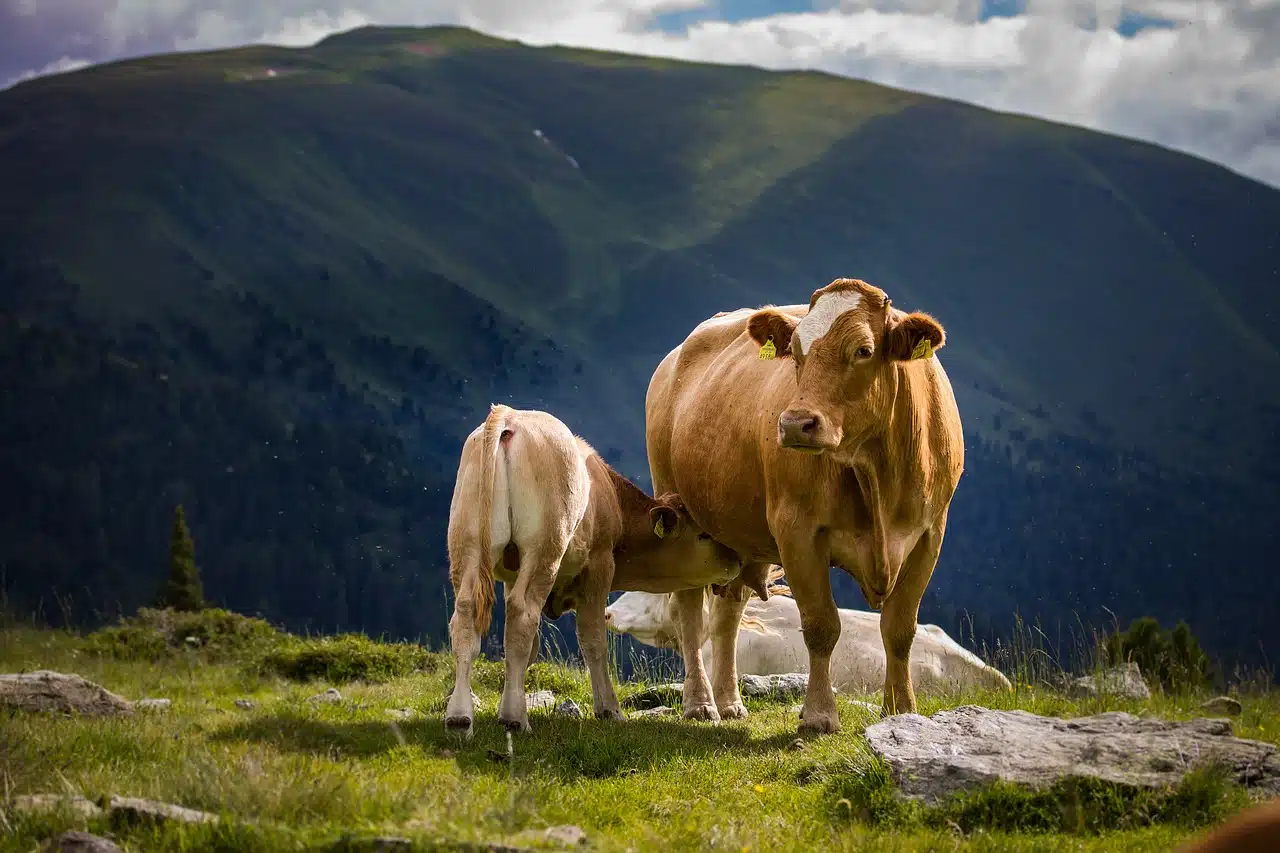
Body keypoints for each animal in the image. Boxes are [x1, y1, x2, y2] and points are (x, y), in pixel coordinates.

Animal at [445, 404, 742, 732]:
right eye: (703, 534)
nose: (737, 558)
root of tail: (510, 417)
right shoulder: (600, 565)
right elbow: (593, 639)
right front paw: (608, 709)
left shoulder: (512, 575)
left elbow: (527, 648)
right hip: (544, 548)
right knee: (522, 614)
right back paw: (514, 719)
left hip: (467, 544)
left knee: (467, 615)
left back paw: (459, 716)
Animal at [650, 279, 967, 732]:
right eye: (796, 353)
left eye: (863, 350)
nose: (795, 423)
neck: (876, 474)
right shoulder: (797, 531)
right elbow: (821, 625)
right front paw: (819, 714)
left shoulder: (930, 534)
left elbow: (901, 627)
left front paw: (901, 709)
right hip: (677, 508)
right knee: (690, 610)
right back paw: (701, 703)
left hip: (735, 535)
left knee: (728, 612)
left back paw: (729, 702)